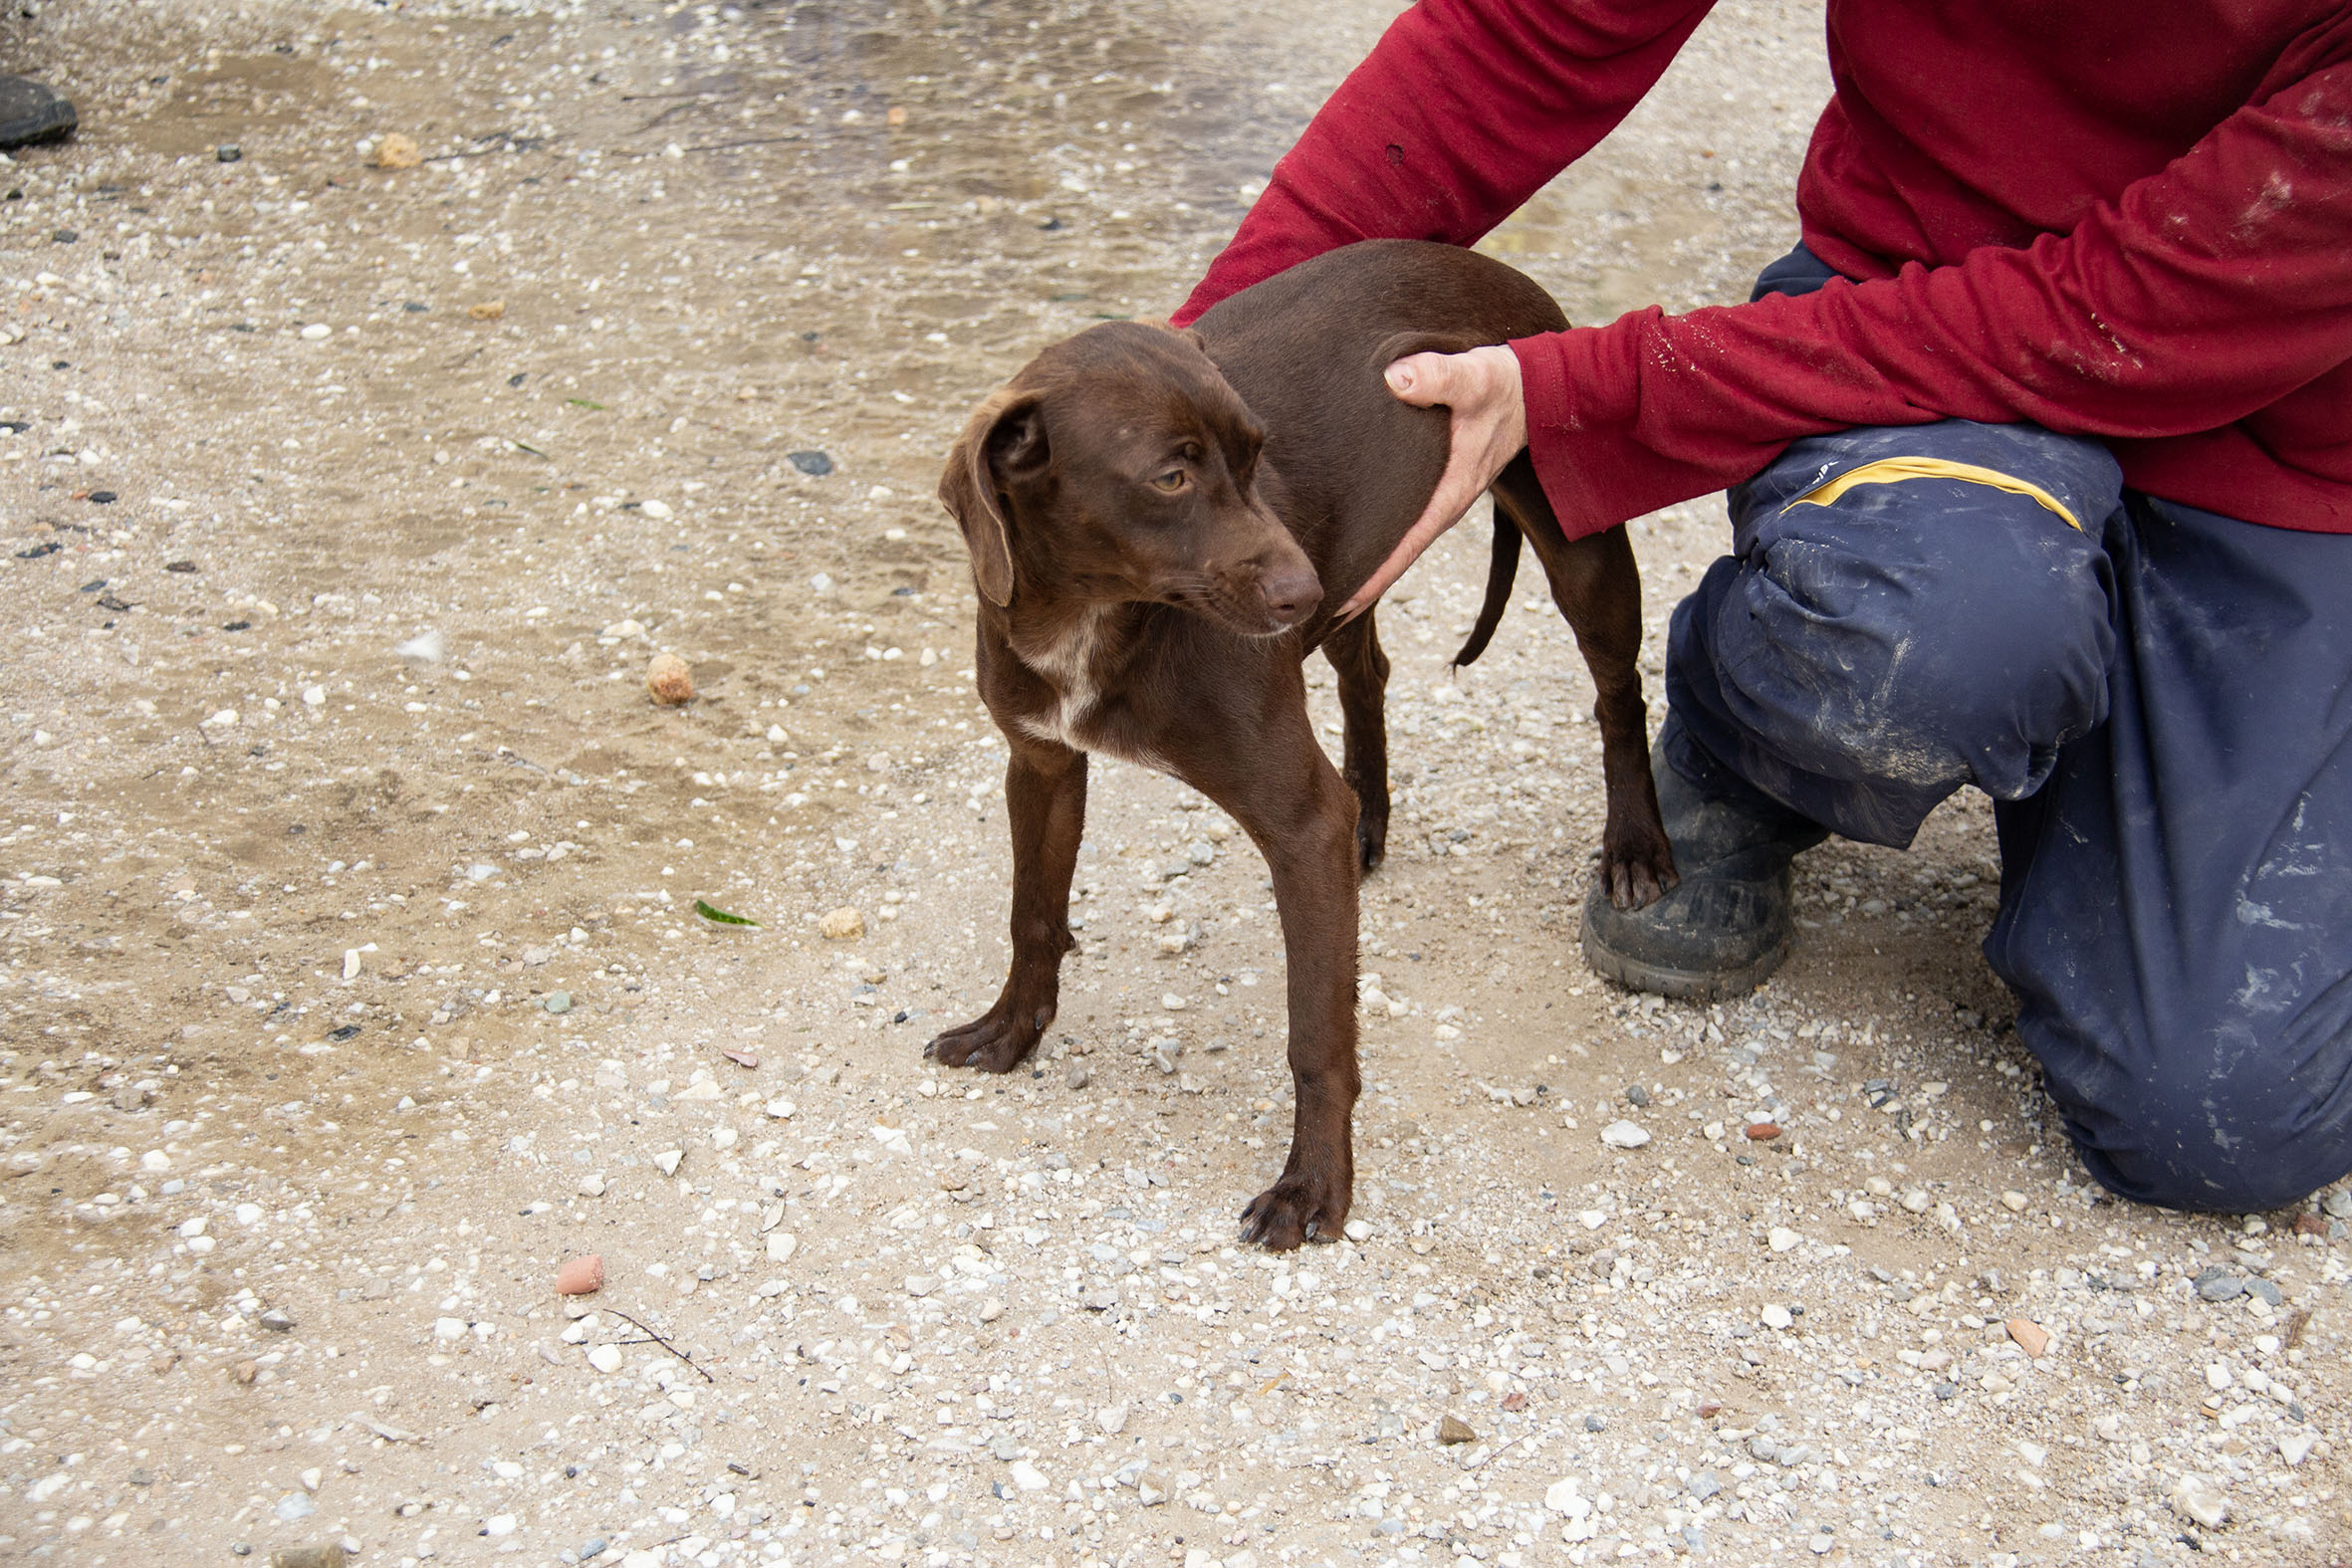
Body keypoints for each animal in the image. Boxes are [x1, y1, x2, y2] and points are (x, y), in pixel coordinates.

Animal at [929, 239, 1675, 1248]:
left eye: (1257, 456)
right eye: (1170, 477)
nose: (1299, 590)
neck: (1096, 618)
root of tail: (1486, 266)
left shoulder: (1298, 823)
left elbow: (1316, 1032)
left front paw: (1314, 1183)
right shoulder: (1041, 764)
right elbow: (1032, 915)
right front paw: (1011, 1028)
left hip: (1575, 547)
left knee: (1618, 696)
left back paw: (1635, 845)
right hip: (1361, 578)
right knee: (1369, 675)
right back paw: (1373, 818)